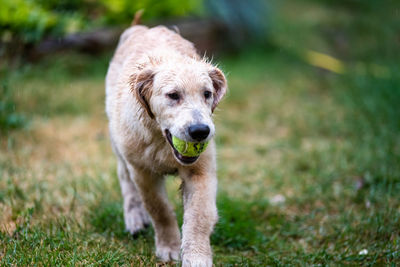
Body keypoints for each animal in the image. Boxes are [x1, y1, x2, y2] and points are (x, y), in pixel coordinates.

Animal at [104, 14, 227, 267]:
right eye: (173, 95)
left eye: (207, 94)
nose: (200, 131)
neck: (161, 142)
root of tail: (142, 28)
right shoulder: (142, 171)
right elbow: (159, 209)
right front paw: (169, 247)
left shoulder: (201, 170)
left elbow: (199, 216)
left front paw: (196, 257)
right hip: (118, 144)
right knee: (125, 181)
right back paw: (134, 218)